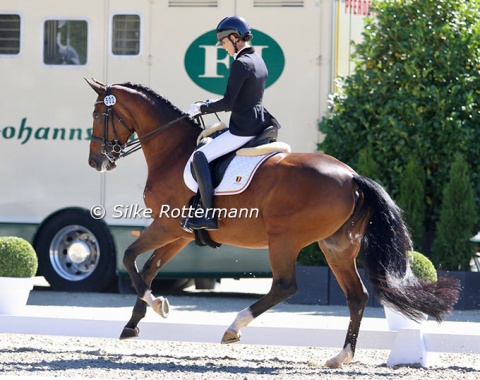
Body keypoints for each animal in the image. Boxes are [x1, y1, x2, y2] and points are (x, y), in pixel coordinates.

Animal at [86, 79, 462, 368]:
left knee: (284, 286)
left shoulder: (166, 225)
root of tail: (352, 177)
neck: (174, 153)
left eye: (97, 114)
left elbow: (129, 258)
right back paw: (341, 356)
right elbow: (148, 268)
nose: (96, 162)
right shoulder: (180, 235)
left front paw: (156, 306)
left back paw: (234, 328)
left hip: (284, 239)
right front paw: (134, 324)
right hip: (336, 245)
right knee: (356, 296)